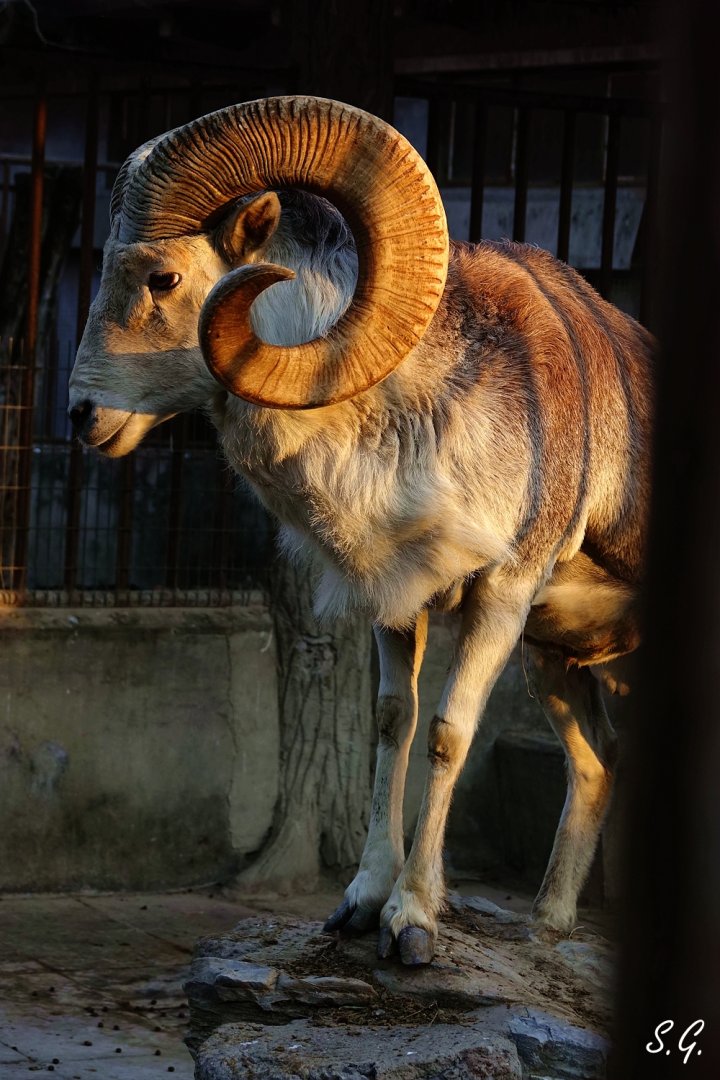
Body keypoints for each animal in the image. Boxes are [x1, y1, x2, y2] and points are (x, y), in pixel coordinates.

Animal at [68, 96, 653, 966]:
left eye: (163, 276)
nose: (82, 416)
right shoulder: (398, 604)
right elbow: (391, 725)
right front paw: (361, 905)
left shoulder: (502, 597)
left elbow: (447, 734)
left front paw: (411, 924)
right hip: (557, 665)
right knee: (598, 762)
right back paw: (547, 928)